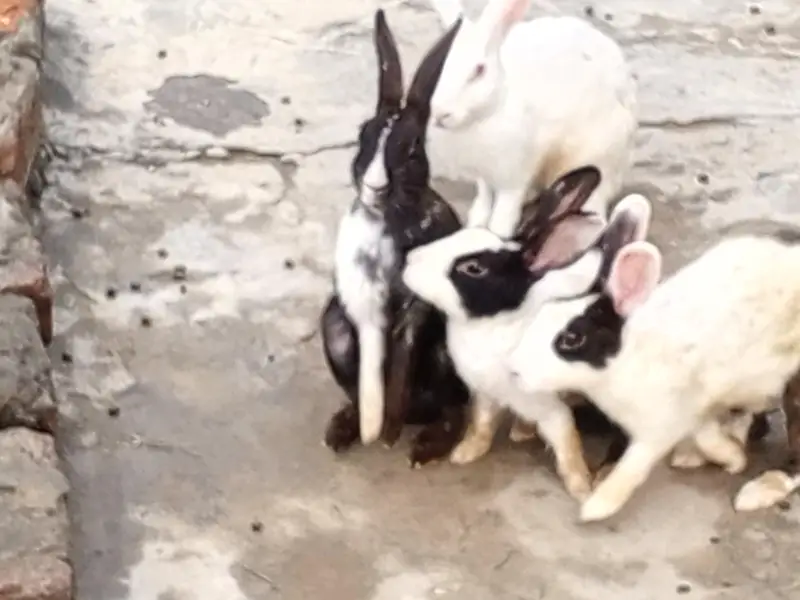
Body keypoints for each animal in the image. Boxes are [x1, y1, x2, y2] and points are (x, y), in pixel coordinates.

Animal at [321, 9, 470, 467]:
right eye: (362, 134)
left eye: (413, 148)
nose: (374, 185)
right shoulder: (358, 303)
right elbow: (373, 369)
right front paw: (374, 428)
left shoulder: (416, 310)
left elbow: (401, 358)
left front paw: (387, 433)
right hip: (332, 325)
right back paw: (342, 430)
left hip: (450, 354)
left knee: (453, 410)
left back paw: (423, 446)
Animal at [402, 165, 647, 500]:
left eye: (473, 268)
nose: (409, 259)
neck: (498, 325)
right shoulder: (486, 395)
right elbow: (481, 425)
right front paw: (465, 453)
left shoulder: (551, 408)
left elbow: (567, 445)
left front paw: (581, 488)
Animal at [424, 0, 638, 239]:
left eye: (479, 70)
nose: (440, 113)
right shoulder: (485, 179)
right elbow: (483, 205)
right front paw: (475, 227)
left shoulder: (515, 178)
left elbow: (502, 217)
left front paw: (498, 235)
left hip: (596, 160)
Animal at [508, 228, 800, 522]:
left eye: (572, 339)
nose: (514, 369)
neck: (626, 360)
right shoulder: (692, 414)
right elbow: (708, 437)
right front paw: (734, 458)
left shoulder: (658, 428)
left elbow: (631, 467)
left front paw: (596, 507)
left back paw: (757, 492)